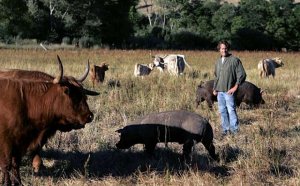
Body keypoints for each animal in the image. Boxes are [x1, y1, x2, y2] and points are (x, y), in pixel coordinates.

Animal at [0, 54, 98, 185]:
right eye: (73, 95)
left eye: (84, 95)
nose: (89, 116)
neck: (26, 102)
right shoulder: (6, 143)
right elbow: (6, 165)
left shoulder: (20, 142)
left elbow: (16, 164)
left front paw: (18, 182)